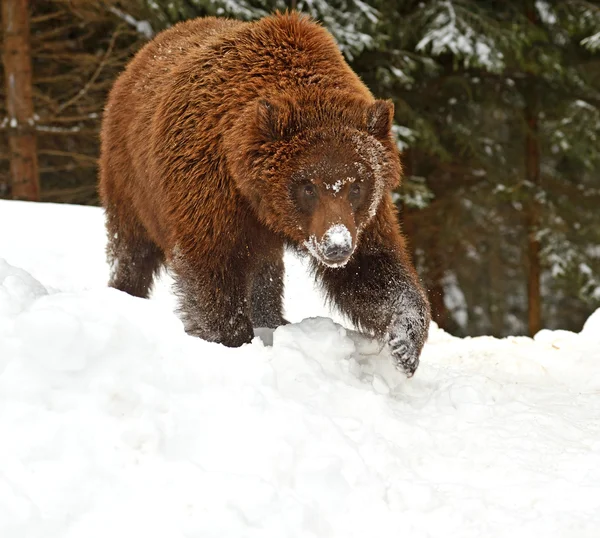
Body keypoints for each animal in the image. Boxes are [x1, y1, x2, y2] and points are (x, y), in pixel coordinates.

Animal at [98, 10, 428, 374]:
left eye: (356, 185)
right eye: (307, 186)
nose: (336, 246)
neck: (259, 199)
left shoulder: (365, 217)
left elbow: (374, 269)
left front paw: (404, 342)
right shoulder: (210, 190)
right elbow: (211, 269)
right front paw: (232, 338)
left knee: (265, 271)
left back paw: (272, 319)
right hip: (130, 179)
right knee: (132, 248)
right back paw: (124, 291)